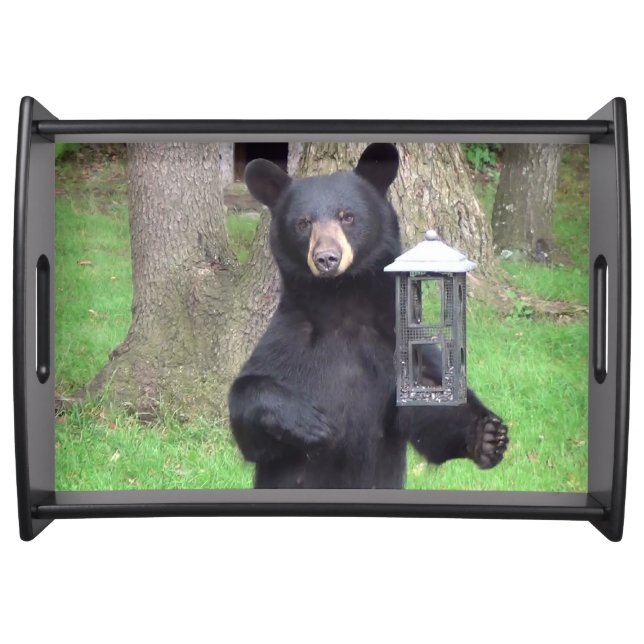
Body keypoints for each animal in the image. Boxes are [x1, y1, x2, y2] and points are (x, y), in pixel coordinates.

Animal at [228, 143, 508, 488]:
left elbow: (430, 403)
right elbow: (249, 412)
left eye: (347, 216)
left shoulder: (395, 340)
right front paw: (311, 422)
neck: (343, 301)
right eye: (303, 223)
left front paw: (487, 435)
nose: (326, 258)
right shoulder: (289, 338)